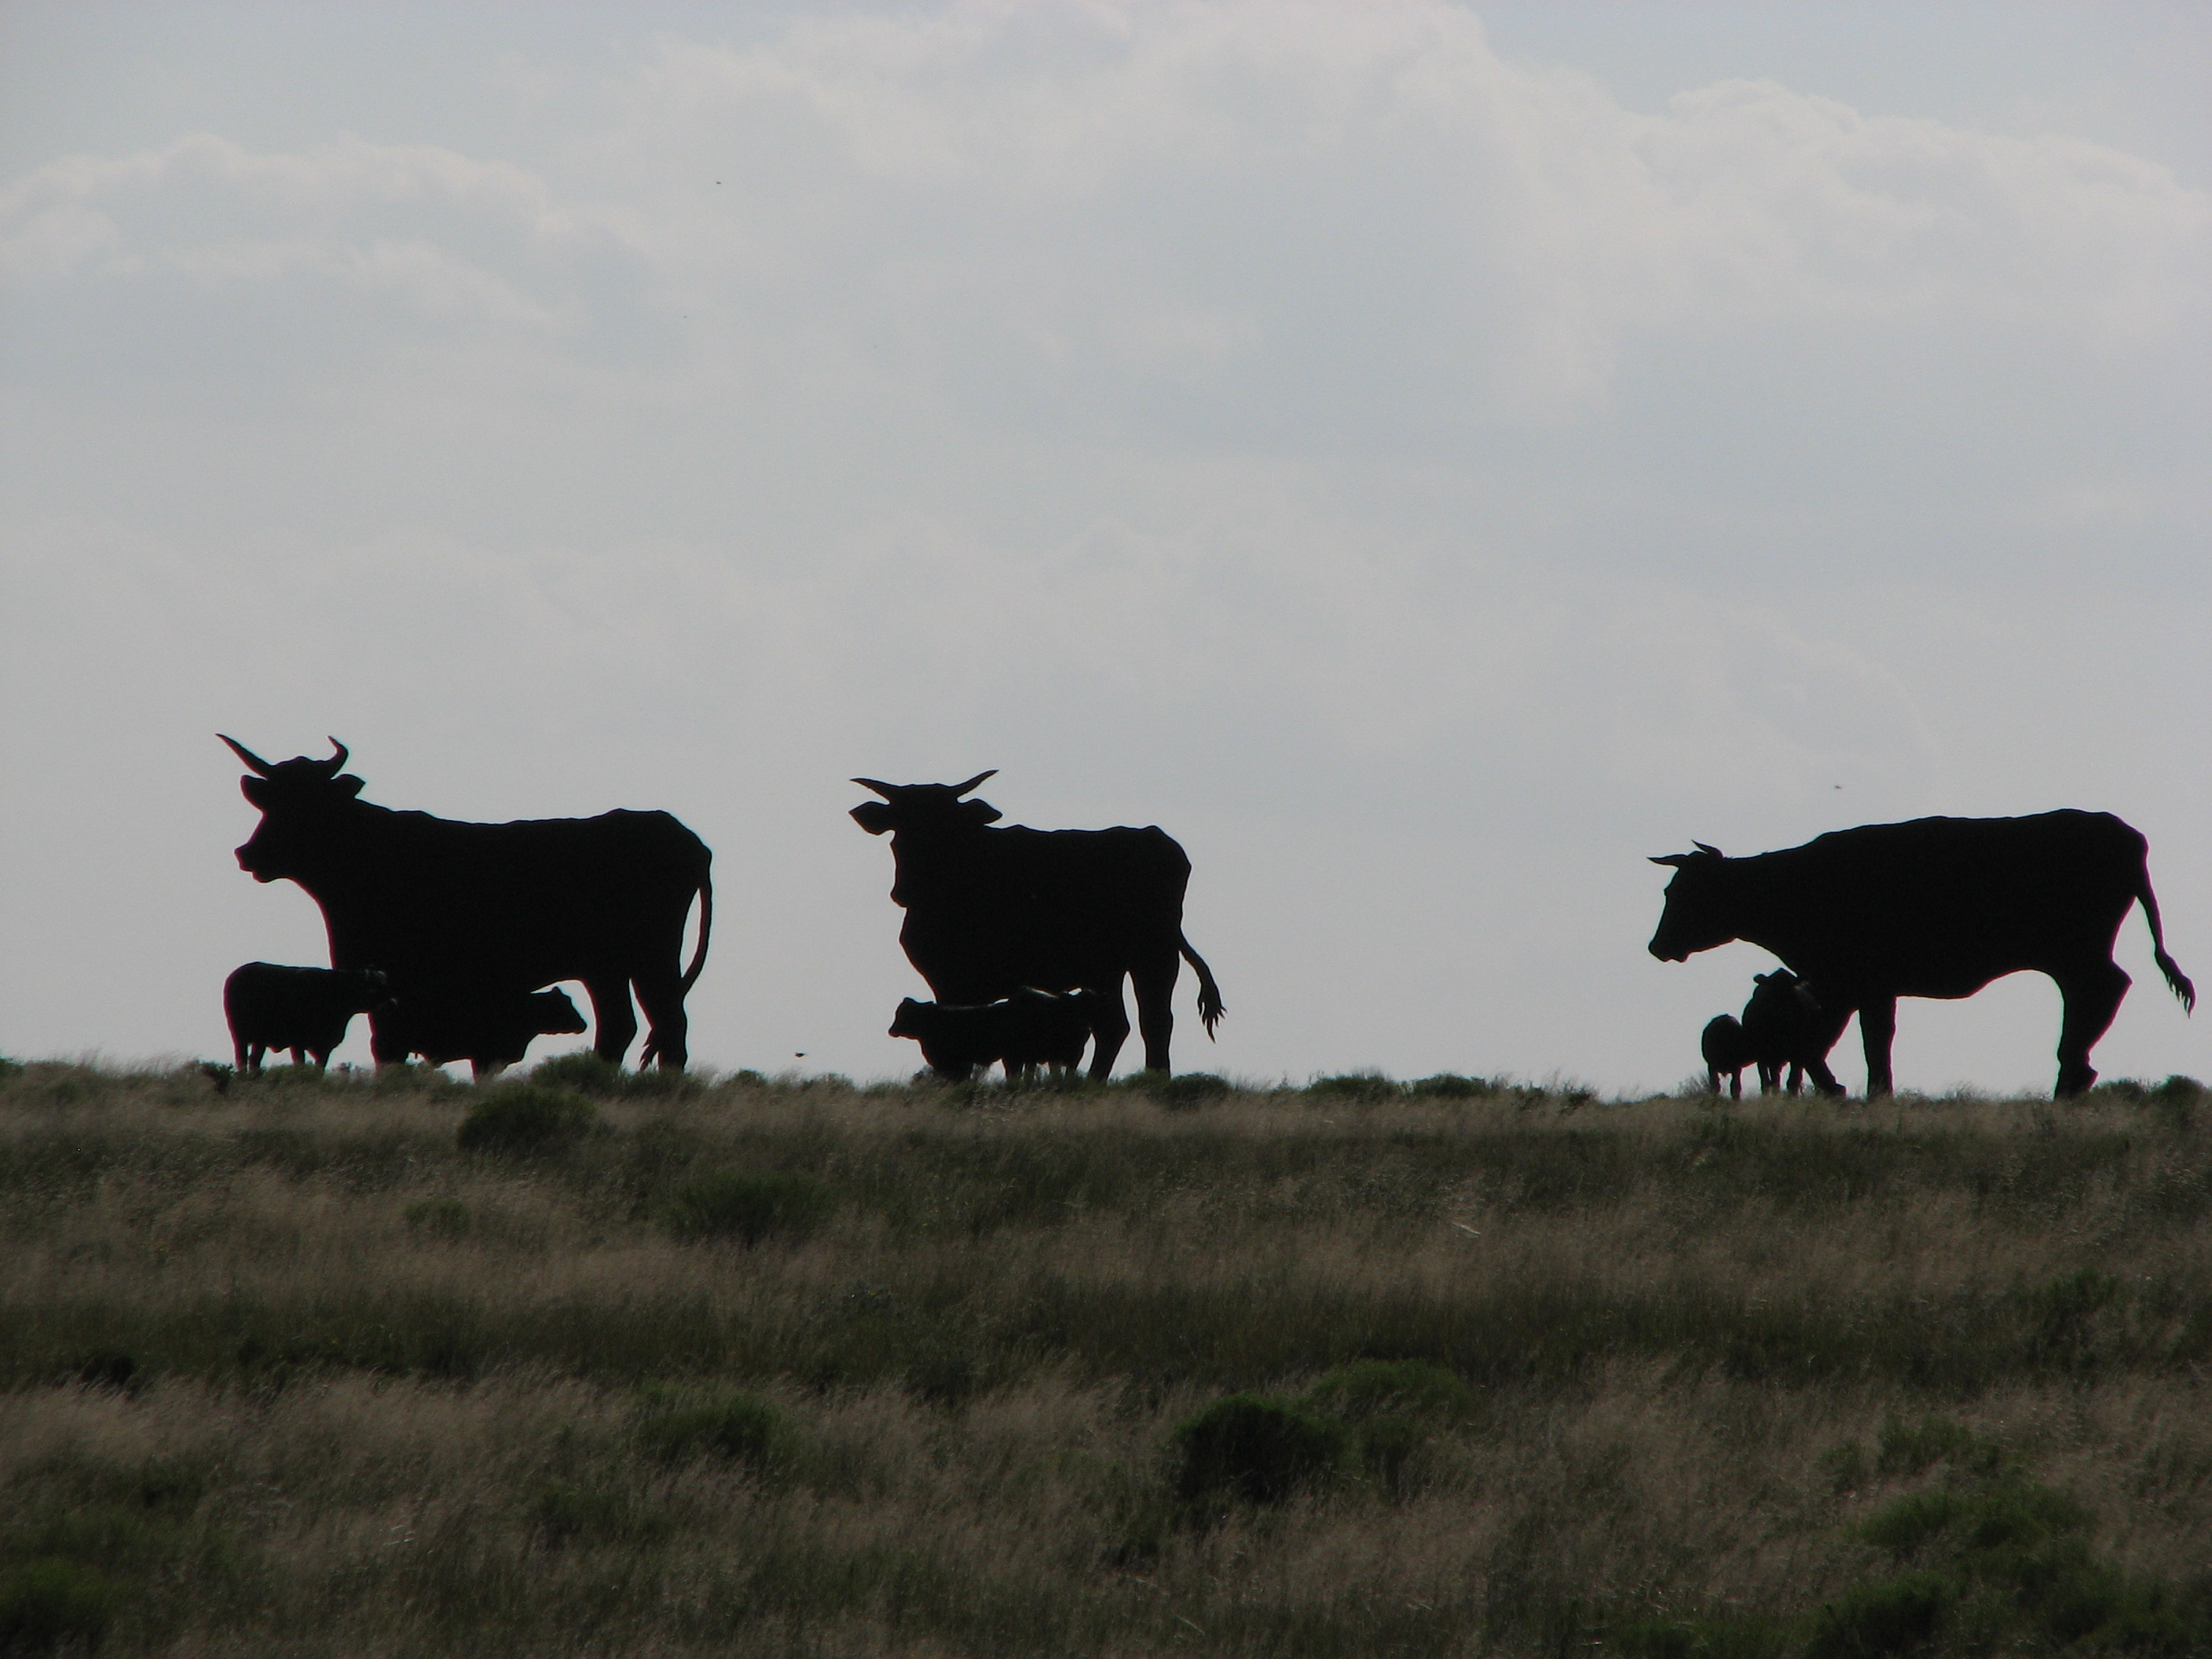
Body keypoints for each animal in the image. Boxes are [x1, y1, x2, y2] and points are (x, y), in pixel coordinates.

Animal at [224, 962, 393, 1075]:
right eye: (373, 988)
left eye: (385, 986)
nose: (391, 1003)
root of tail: (235, 977)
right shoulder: (297, 1044)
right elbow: (301, 1063)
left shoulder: (325, 1047)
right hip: (242, 1038)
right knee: (244, 1060)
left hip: (258, 1042)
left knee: (253, 1061)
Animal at [1740, 969, 1849, 1097]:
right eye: (1773, 989)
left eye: (1791, 989)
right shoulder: (1764, 1053)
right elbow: (1769, 1081)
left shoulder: (1798, 1053)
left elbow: (1792, 1081)